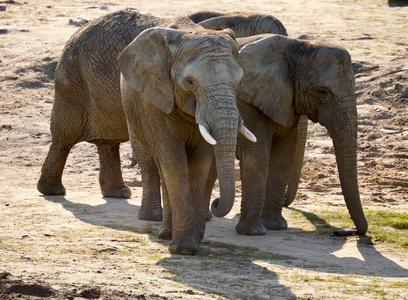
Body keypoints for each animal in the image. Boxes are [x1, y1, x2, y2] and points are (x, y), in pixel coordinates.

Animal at [117, 27, 258, 254]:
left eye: (239, 82)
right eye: (190, 82)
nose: (216, 203)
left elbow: (199, 164)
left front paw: (190, 245)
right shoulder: (154, 101)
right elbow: (174, 162)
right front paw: (183, 249)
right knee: (161, 166)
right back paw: (166, 234)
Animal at [233, 34, 370, 236]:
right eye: (322, 92)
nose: (345, 231)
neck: (295, 47)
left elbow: (283, 157)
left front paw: (276, 227)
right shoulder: (245, 101)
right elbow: (257, 154)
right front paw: (253, 232)